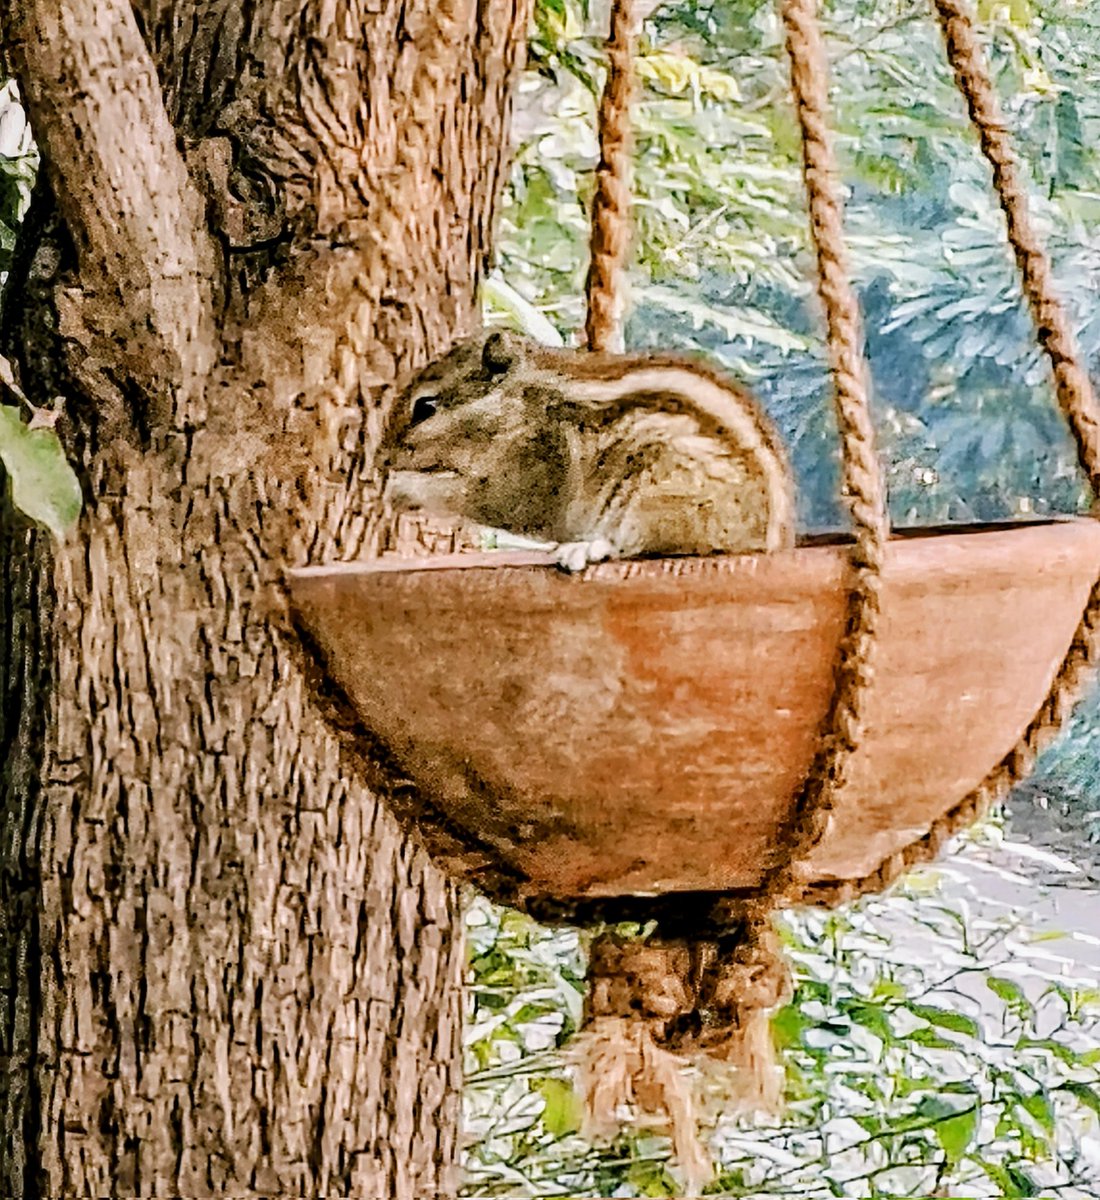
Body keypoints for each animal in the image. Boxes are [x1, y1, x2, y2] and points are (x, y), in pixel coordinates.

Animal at [382, 330, 796, 568]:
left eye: (425, 407)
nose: (382, 458)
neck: (519, 403)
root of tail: (774, 543)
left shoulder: (528, 470)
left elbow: (474, 495)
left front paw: (401, 488)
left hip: (661, 497)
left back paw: (588, 548)